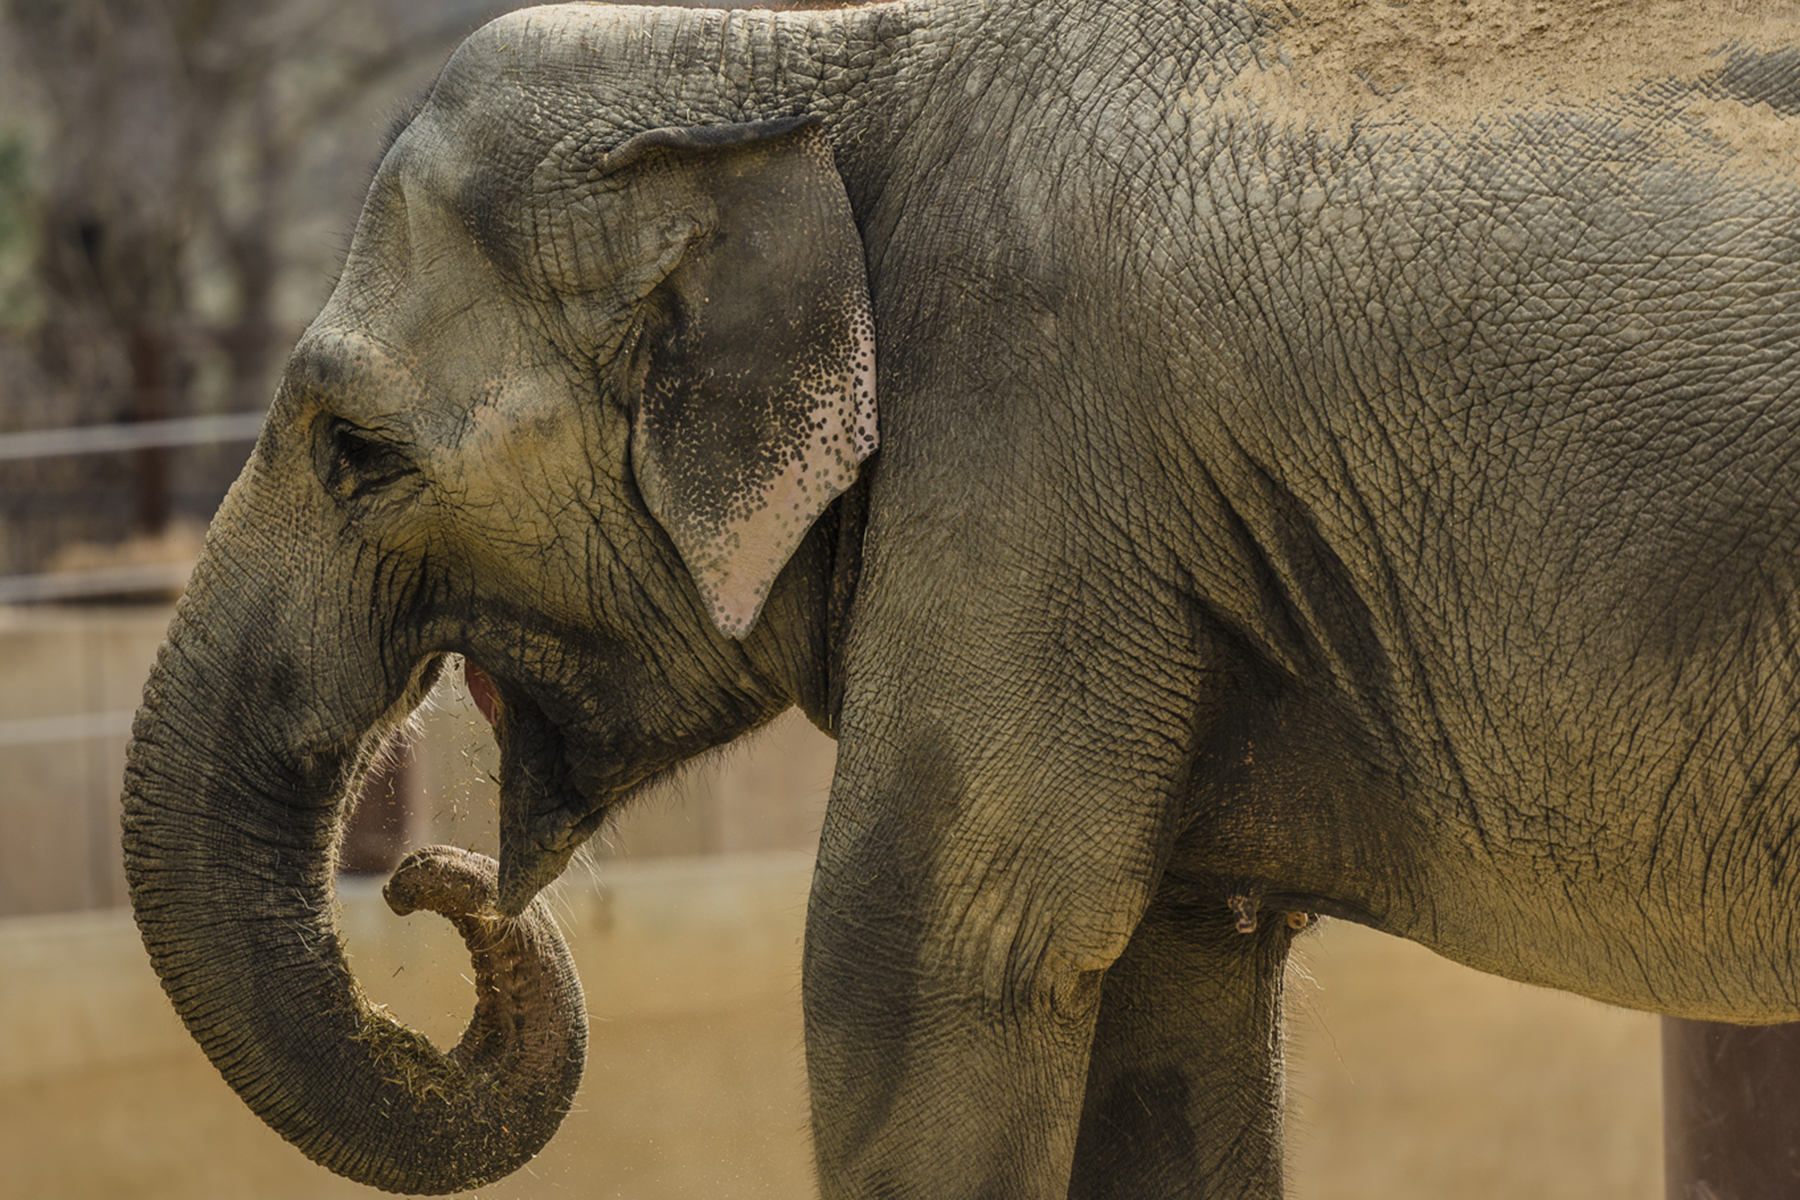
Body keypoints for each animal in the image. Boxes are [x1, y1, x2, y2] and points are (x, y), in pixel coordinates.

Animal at [123, 0, 1800, 1194]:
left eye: (356, 451)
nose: (426, 879)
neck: (811, 65)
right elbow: (1175, 984)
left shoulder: (1031, 467)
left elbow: (917, 962)